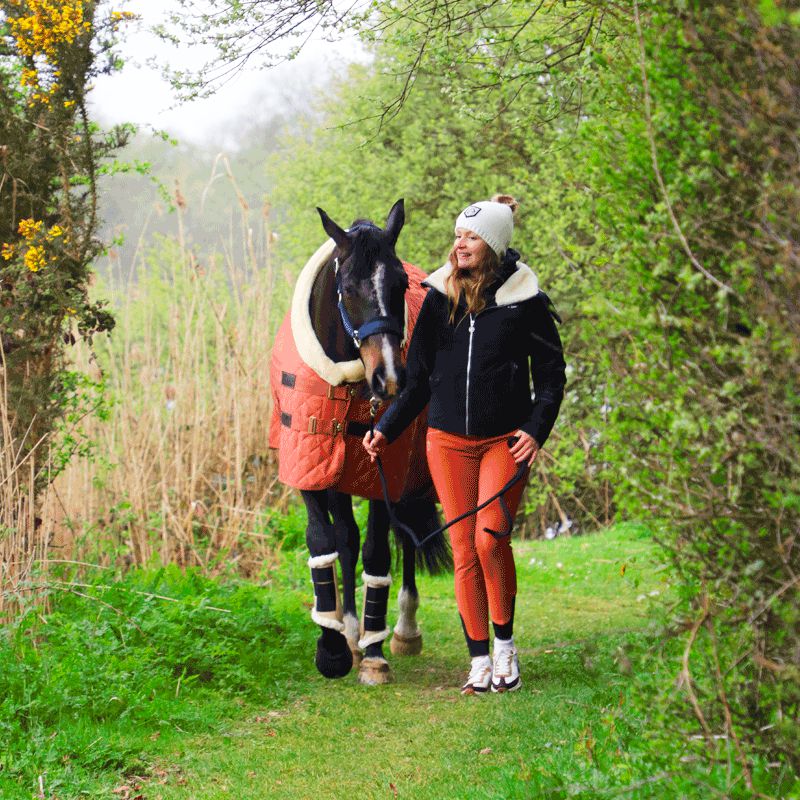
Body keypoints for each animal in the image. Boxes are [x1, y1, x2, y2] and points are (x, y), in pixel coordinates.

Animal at [272, 198, 450, 680]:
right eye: (349, 287)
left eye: (401, 283)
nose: (390, 379)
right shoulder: (310, 463)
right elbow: (326, 542)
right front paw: (333, 646)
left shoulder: (381, 468)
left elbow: (376, 552)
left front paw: (374, 652)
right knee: (347, 538)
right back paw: (350, 632)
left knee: (406, 536)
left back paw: (402, 628)